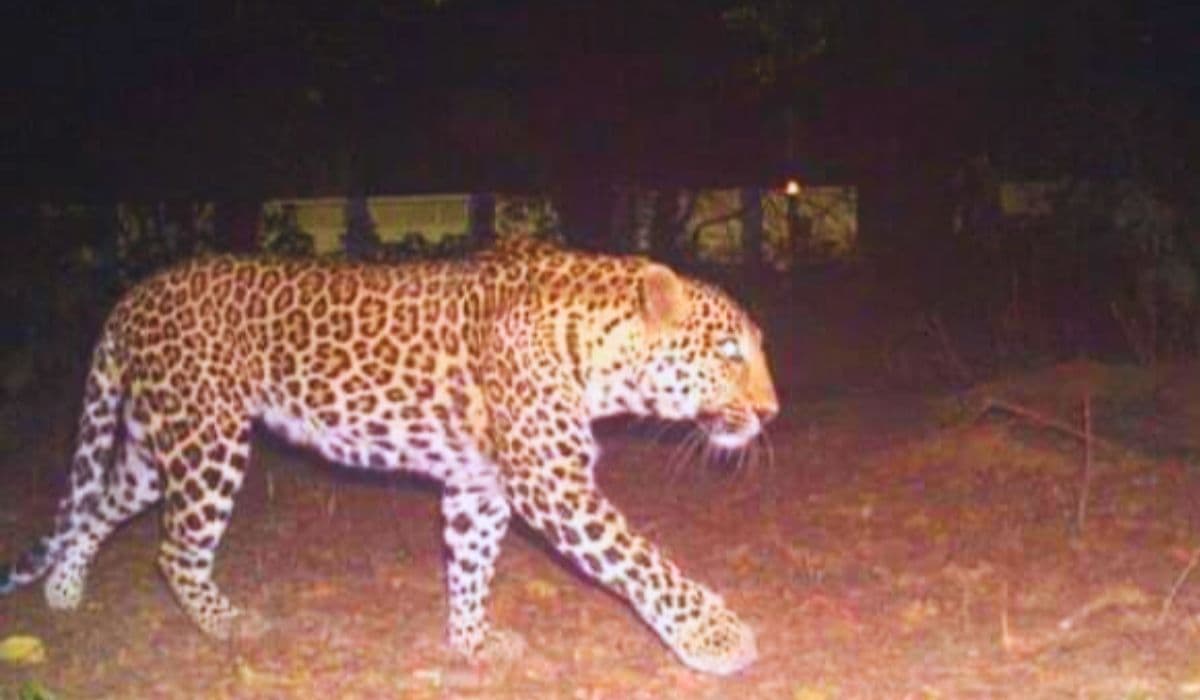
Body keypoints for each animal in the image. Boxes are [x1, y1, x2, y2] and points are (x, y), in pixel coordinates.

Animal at [0, 237, 778, 675]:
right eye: (729, 352)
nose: (772, 412)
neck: (599, 350)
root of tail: (129, 298)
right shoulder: (550, 482)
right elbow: (643, 561)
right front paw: (716, 638)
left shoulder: (478, 484)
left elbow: (470, 564)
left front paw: (471, 643)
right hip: (207, 439)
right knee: (173, 548)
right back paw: (227, 622)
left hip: (153, 443)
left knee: (95, 507)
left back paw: (64, 593)